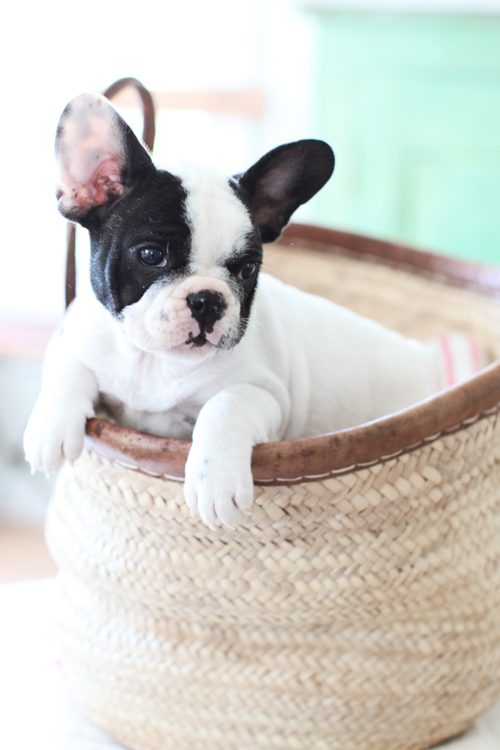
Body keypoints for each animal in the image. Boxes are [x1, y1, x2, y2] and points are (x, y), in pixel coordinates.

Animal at [24, 93, 443, 529]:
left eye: (247, 270)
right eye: (152, 255)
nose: (208, 299)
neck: (153, 360)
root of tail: (428, 359)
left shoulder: (268, 395)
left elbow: (225, 404)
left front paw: (215, 481)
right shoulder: (79, 335)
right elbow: (67, 364)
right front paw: (50, 426)